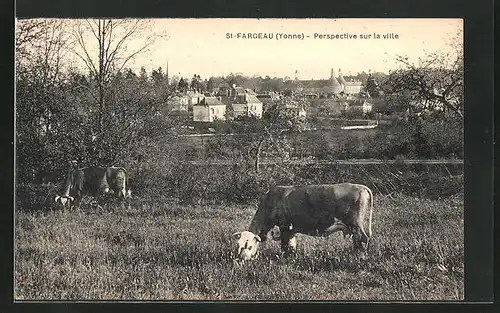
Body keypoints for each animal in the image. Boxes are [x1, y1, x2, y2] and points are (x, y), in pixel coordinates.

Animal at [232, 183, 374, 260]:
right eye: (238, 245)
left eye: (249, 246)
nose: (242, 258)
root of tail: (361, 186)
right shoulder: (291, 229)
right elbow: (292, 244)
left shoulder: (284, 226)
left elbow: (284, 245)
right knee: (357, 240)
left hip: (355, 223)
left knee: (363, 239)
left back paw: (360, 257)